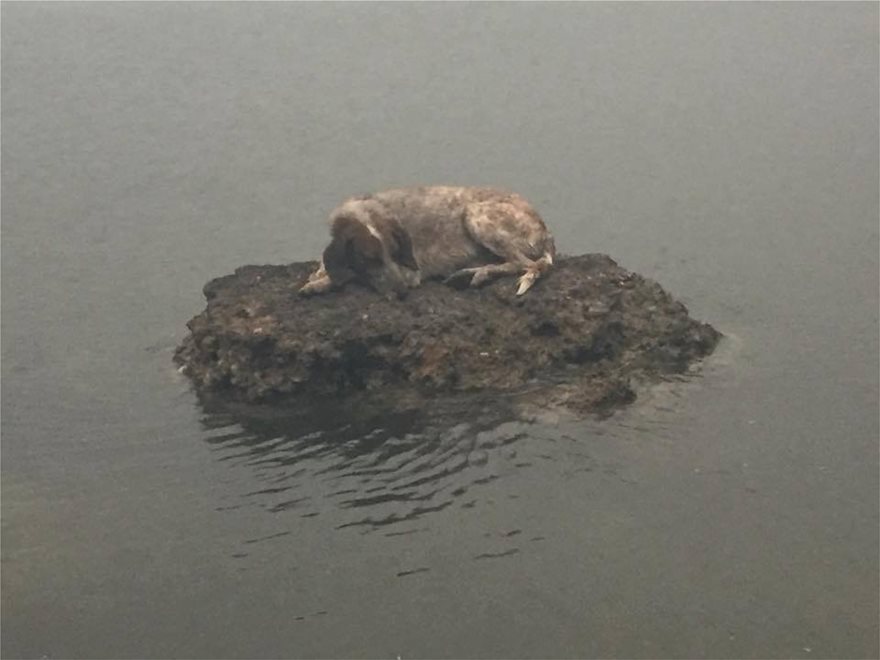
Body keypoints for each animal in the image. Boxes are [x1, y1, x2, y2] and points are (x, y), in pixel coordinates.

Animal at [300, 186, 552, 300]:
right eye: (368, 259)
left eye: (395, 253)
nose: (402, 292)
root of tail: (546, 232)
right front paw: (319, 275)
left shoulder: (410, 272)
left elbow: (349, 275)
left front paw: (320, 283)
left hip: (475, 215)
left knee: (524, 263)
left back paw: (477, 272)